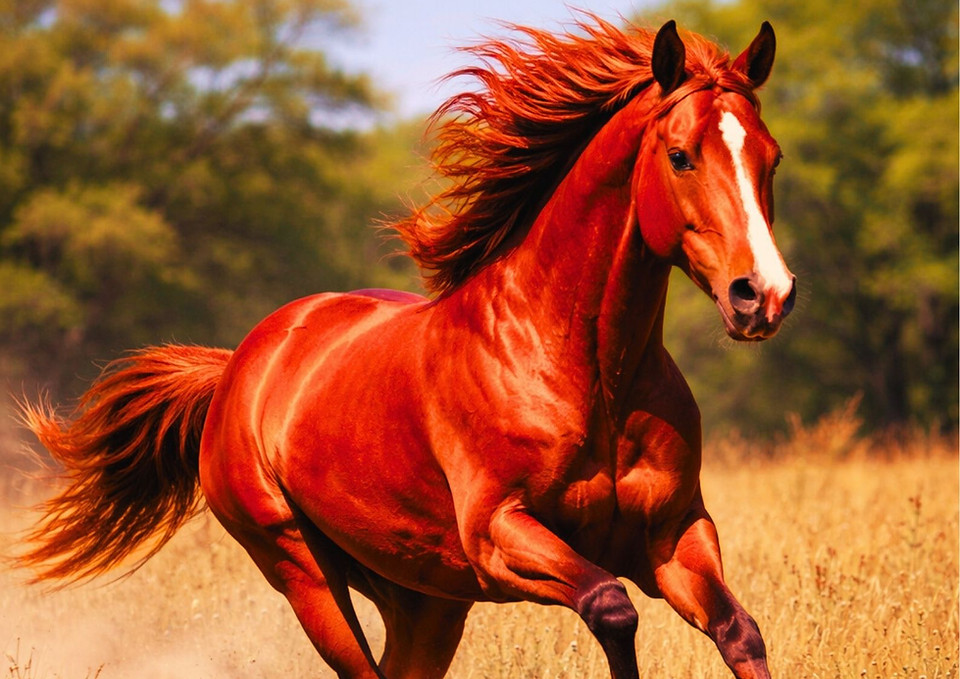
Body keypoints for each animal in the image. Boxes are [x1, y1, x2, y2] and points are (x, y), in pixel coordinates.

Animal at [18, 16, 796, 679]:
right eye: (681, 156)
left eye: (772, 158)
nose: (764, 294)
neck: (587, 371)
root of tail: (238, 366)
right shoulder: (500, 535)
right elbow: (611, 608)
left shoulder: (673, 535)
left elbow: (739, 631)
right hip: (303, 571)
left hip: (422, 596)